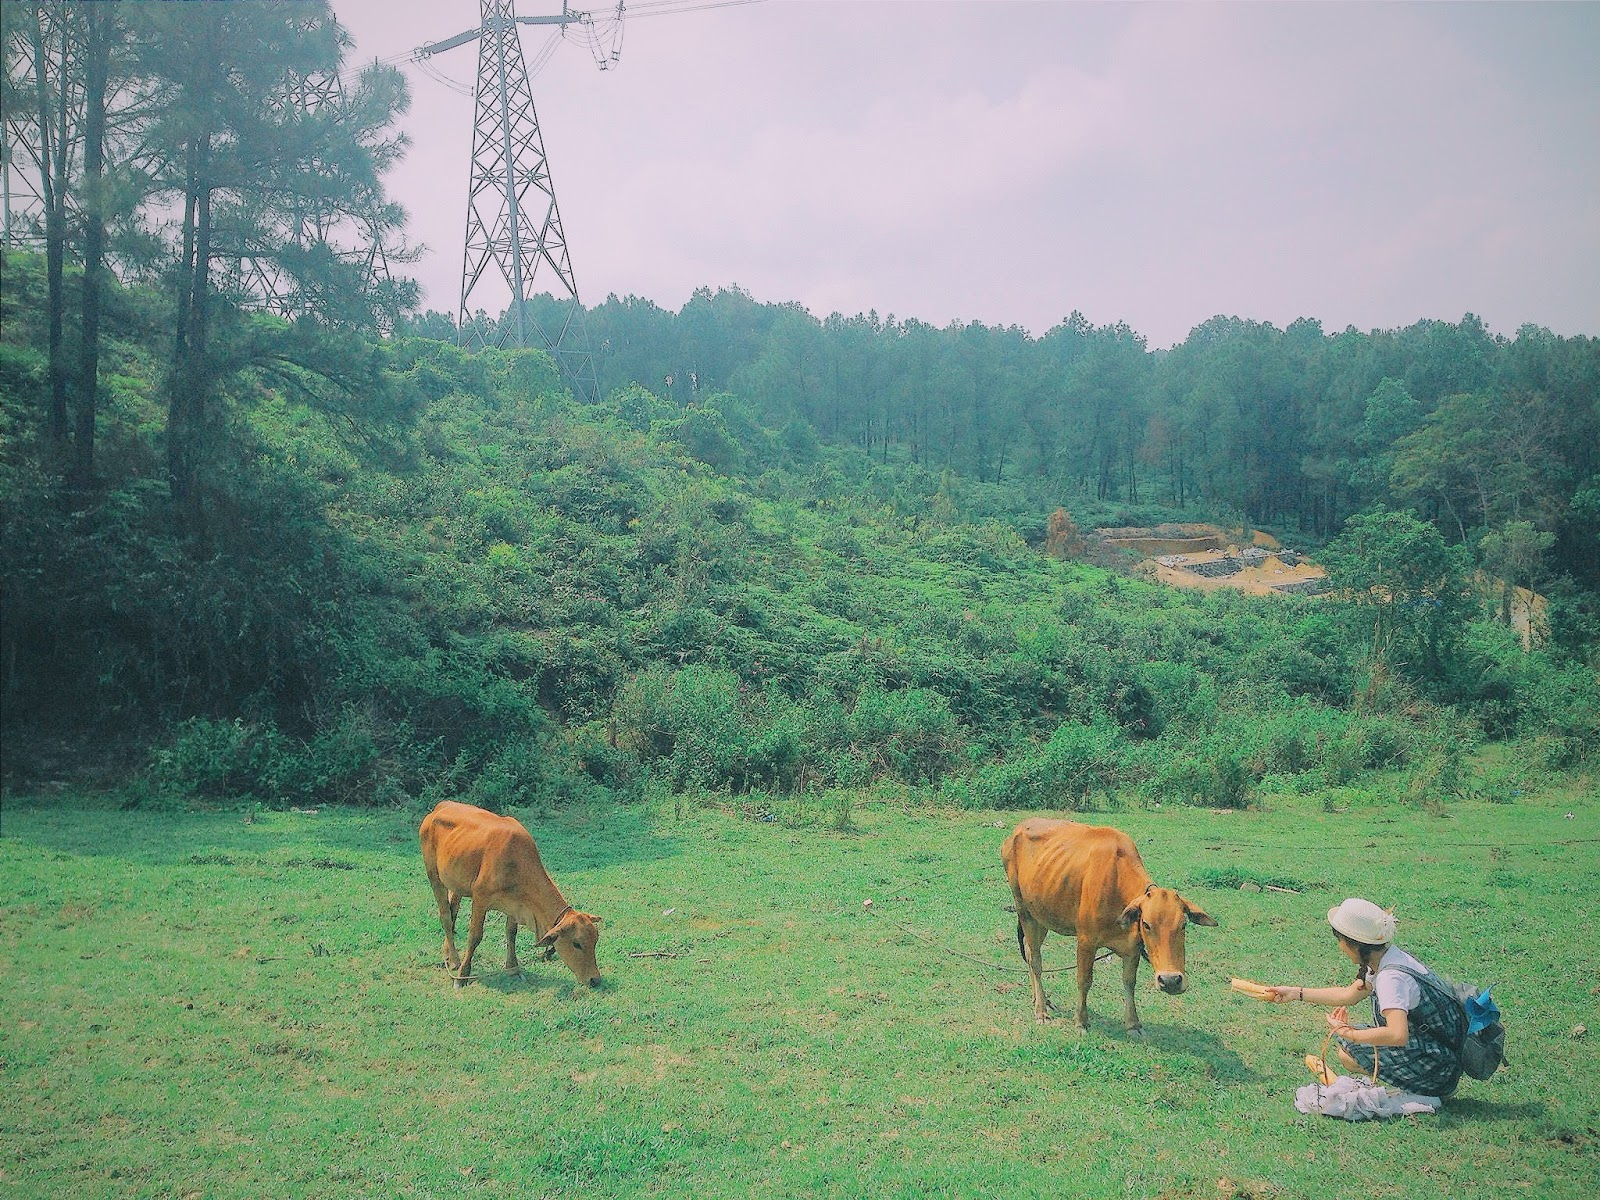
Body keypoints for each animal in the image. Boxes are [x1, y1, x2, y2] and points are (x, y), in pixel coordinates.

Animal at [422, 803, 601, 992]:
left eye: (595, 941)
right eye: (577, 944)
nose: (595, 980)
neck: (517, 862)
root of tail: (439, 807)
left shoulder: (515, 904)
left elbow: (511, 932)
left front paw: (513, 968)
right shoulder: (480, 898)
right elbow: (475, 937)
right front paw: (462, 976)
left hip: (456, 883)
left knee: (453, 912)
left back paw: (449, 956)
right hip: (434, 876)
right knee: (446, 917)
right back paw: (456, 961)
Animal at [998, 825, 1209, 1036]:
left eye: (1183, 924)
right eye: (1146, 924)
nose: (1171, 980)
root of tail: (1017, 830)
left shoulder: (1132, 948)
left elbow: (1129, 982)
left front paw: (1133, 1024)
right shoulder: (1086, 941)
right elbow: (1084, 981)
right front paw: (1081, 1021)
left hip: (1041, 915)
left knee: (1028, 950)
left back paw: (1039, 999)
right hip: (1024, 911)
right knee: (1035, 960)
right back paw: (1041, 1011)